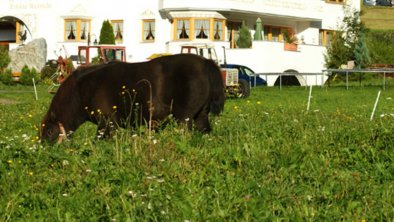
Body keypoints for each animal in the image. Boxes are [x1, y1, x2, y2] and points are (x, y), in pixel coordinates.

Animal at [40, 54, 225, 143]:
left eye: (49, 131)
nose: (44, 149)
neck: (82, 90)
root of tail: (205, 62)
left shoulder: (107, 124)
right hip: (200, 117)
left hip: (184, 118)